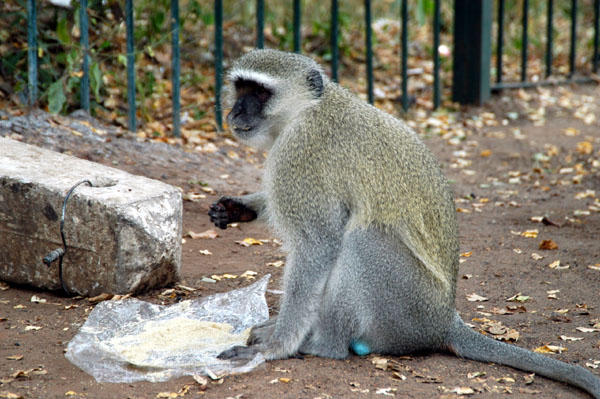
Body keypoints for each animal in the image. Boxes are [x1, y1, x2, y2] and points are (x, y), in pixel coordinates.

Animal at [210, 48, 600, 398]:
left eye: (260, 93)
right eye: (241, 89)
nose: (235, 110)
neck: (307, 110)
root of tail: (444, 321)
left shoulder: (299, 155)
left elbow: (317, 246)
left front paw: (277, 346)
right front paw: (239, 207)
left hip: (406, 310)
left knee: (362, 239)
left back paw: (321, 345)